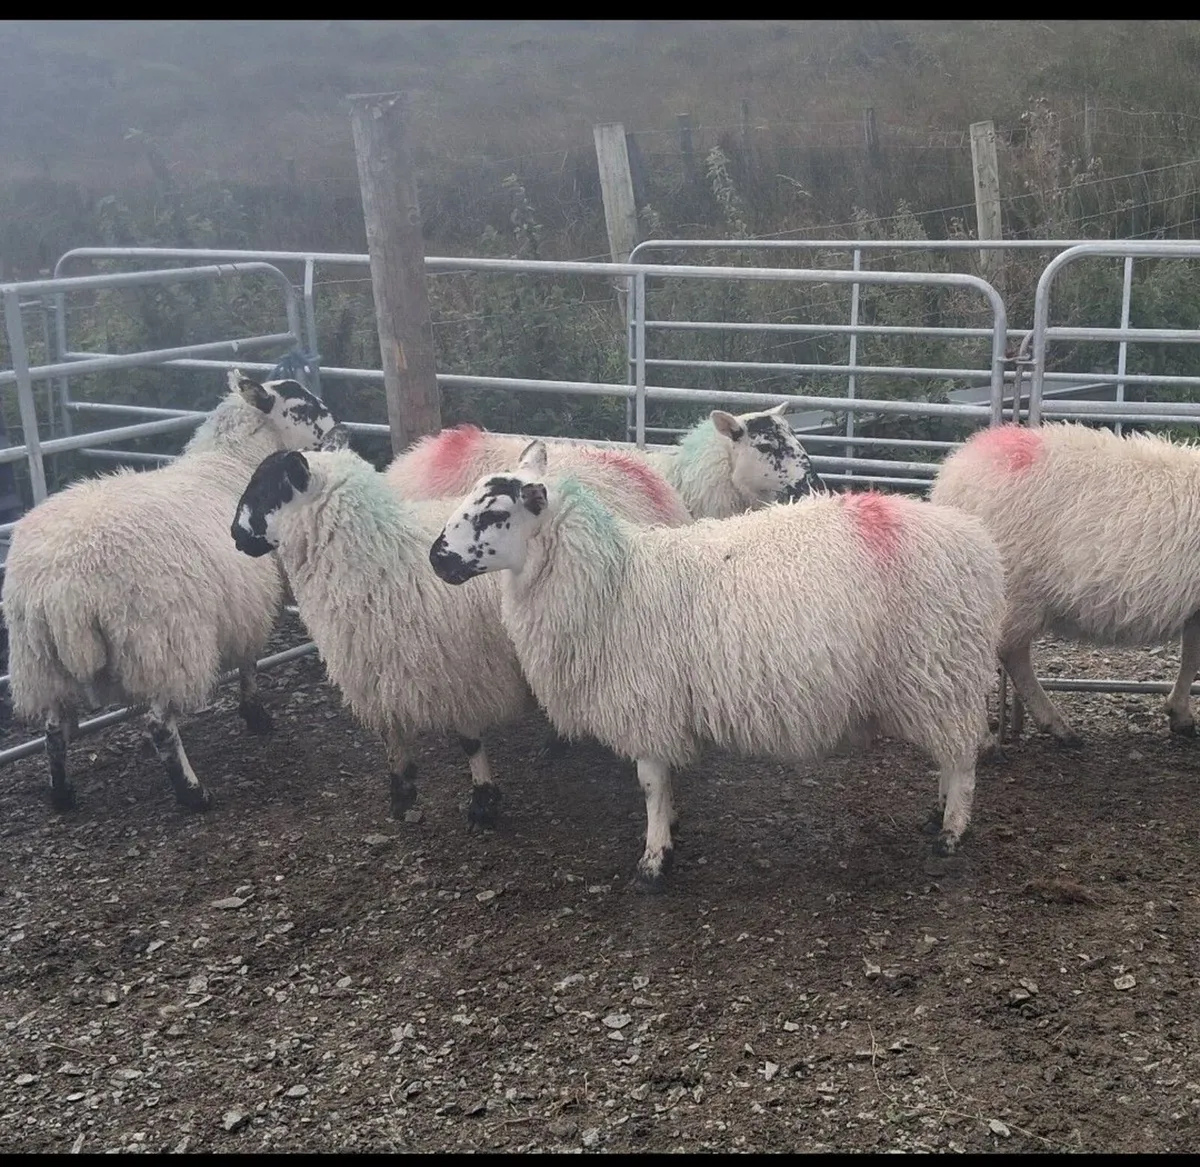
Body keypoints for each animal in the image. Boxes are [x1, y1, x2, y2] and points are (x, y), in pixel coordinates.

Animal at [1, 370, 338, 813]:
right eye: (301, 406)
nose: (340, 430)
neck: (233, 463)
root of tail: (63, 586)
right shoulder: (249, 602)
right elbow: (249, 662)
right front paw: (256, 716)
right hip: (162, 641)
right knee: (159, 726)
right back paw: (193, 794)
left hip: (40, 660)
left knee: (54, 729)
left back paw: (62, 795)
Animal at [230, 430, 693, 827]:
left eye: (268, 491)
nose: (235, 535)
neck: (380, 554)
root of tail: (636, 471)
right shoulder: (377, 665)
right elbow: (391, 734)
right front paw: (401, 791)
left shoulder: (461, 668)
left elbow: (470, 741)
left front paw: (483, 801)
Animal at [428, 440, 1006, 891]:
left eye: (492, 515)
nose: (436, 558)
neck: (612, 581)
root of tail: (975, 540)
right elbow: (665, 785)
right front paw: (672, 830)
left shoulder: (648, 705)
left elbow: (650, 784)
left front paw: (653, 862)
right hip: (939, 678)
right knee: (949, 752)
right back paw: (935, 816)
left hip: (940, 667)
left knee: (962, 759)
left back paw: (950, 833)